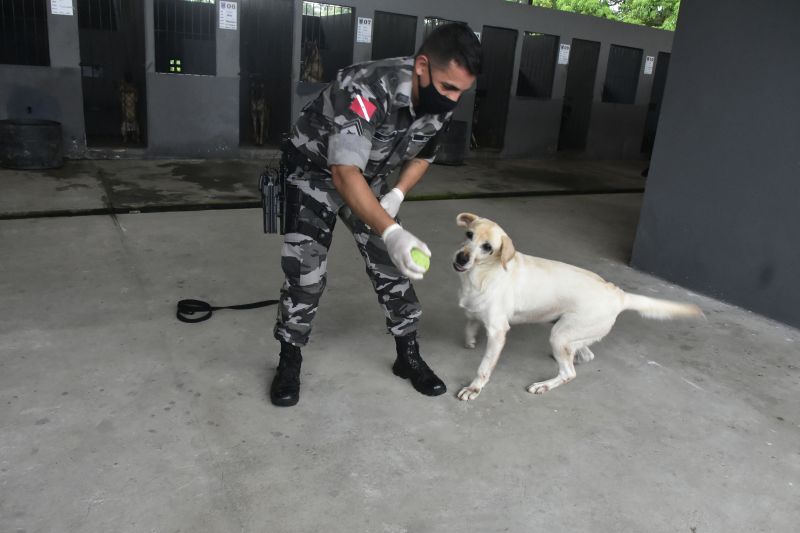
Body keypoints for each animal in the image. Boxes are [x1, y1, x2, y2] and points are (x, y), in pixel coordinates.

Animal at [454, 212, 704, 400]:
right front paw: (470, 339)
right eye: (469, 234)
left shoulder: (498, 332)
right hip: (565, 331)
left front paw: (474, 388)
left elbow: (484, 367)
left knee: (569, 373)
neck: (481, 274)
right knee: (585, 355)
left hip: (560, 335)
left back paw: (545, 384)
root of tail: (617, 294)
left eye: (488, 247)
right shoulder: (474, 312)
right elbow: (469, 323)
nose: (461, 258)